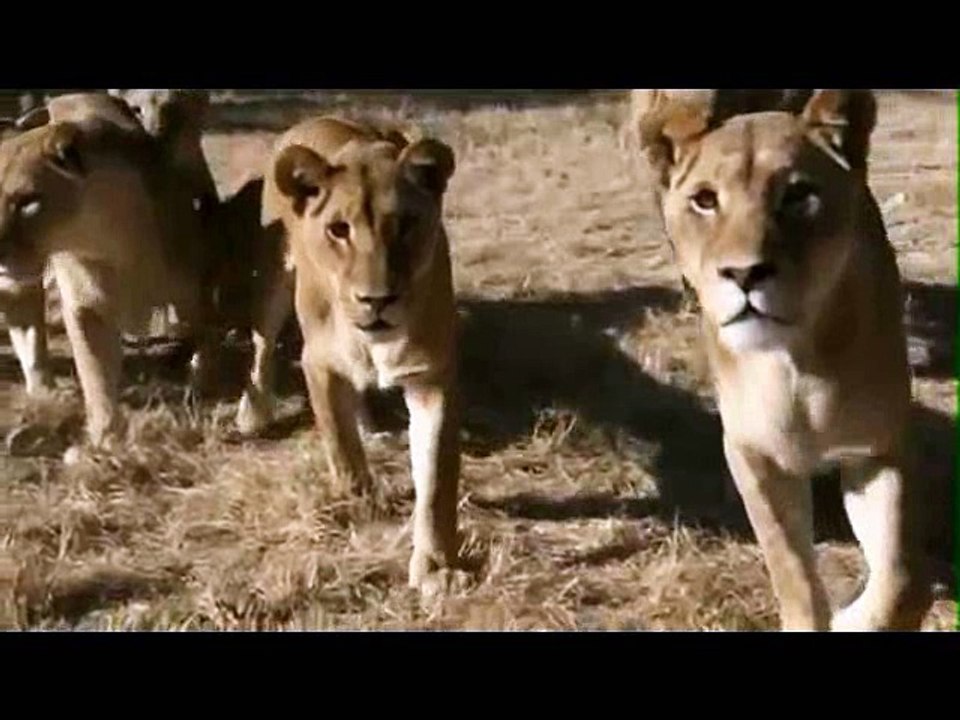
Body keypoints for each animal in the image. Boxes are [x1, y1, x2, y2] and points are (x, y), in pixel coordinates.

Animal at [0, 104, 213, 450]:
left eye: (28, 201)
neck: (103, 238)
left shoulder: (192, 286)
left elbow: (201, 337)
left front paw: (198, 387)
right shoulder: (85, 307)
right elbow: (94, 372)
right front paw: (105, 436)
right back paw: (40, 413)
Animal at [254, 115, 461, 592]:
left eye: (405, 225)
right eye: (338, 229)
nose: (377, 300)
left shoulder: (431, 376)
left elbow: (436, 479)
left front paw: (435, 567)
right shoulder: (318, 363)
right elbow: (341, 444)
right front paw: (361, 505)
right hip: (276, 275)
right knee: (262, 342)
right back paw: (252, 414)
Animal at [630, 89, 933, 631]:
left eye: (798, 196)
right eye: (705, 200)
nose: (744, 274)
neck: (792, 366)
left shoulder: (876, 449)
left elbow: (902, 576)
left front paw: (855, 617)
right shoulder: (754, 455)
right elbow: (789, 566)